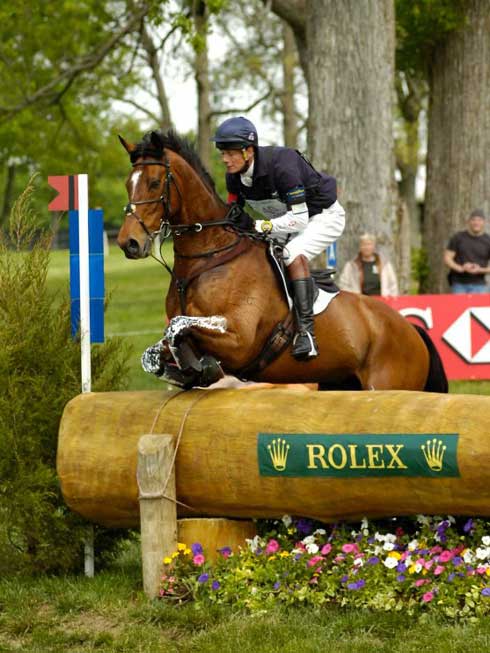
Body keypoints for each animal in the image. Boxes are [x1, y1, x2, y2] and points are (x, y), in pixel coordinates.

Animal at [116, 129, 448, 392]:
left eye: (155, 183)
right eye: (128, 184)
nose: (128, 243)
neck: (209, 259)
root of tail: (412, 330)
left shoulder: (239, 339)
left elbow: (177, 326)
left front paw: (201, 367)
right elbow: (157, 349)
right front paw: (187, 369)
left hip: (387, 384)